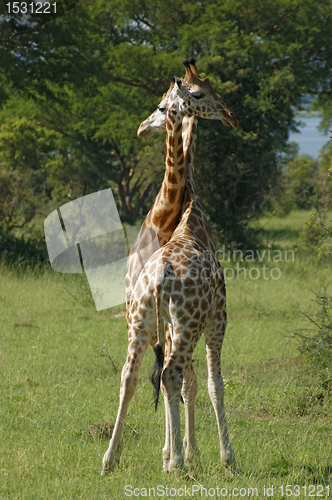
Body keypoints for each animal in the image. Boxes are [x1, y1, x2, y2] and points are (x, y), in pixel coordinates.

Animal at [102, 64, 237, 474]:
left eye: (163, 106)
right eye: (200, 93)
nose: (231, 115)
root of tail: (159, 278)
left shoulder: (172, 325)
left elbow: (183, 384)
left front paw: (185, 450)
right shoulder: (218, 316)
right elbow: (212, 382)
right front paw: (223, 456)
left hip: (146, 321)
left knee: (135, 375)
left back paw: (112, 458)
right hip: (183, 323)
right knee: (171, 373)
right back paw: (176, 461)